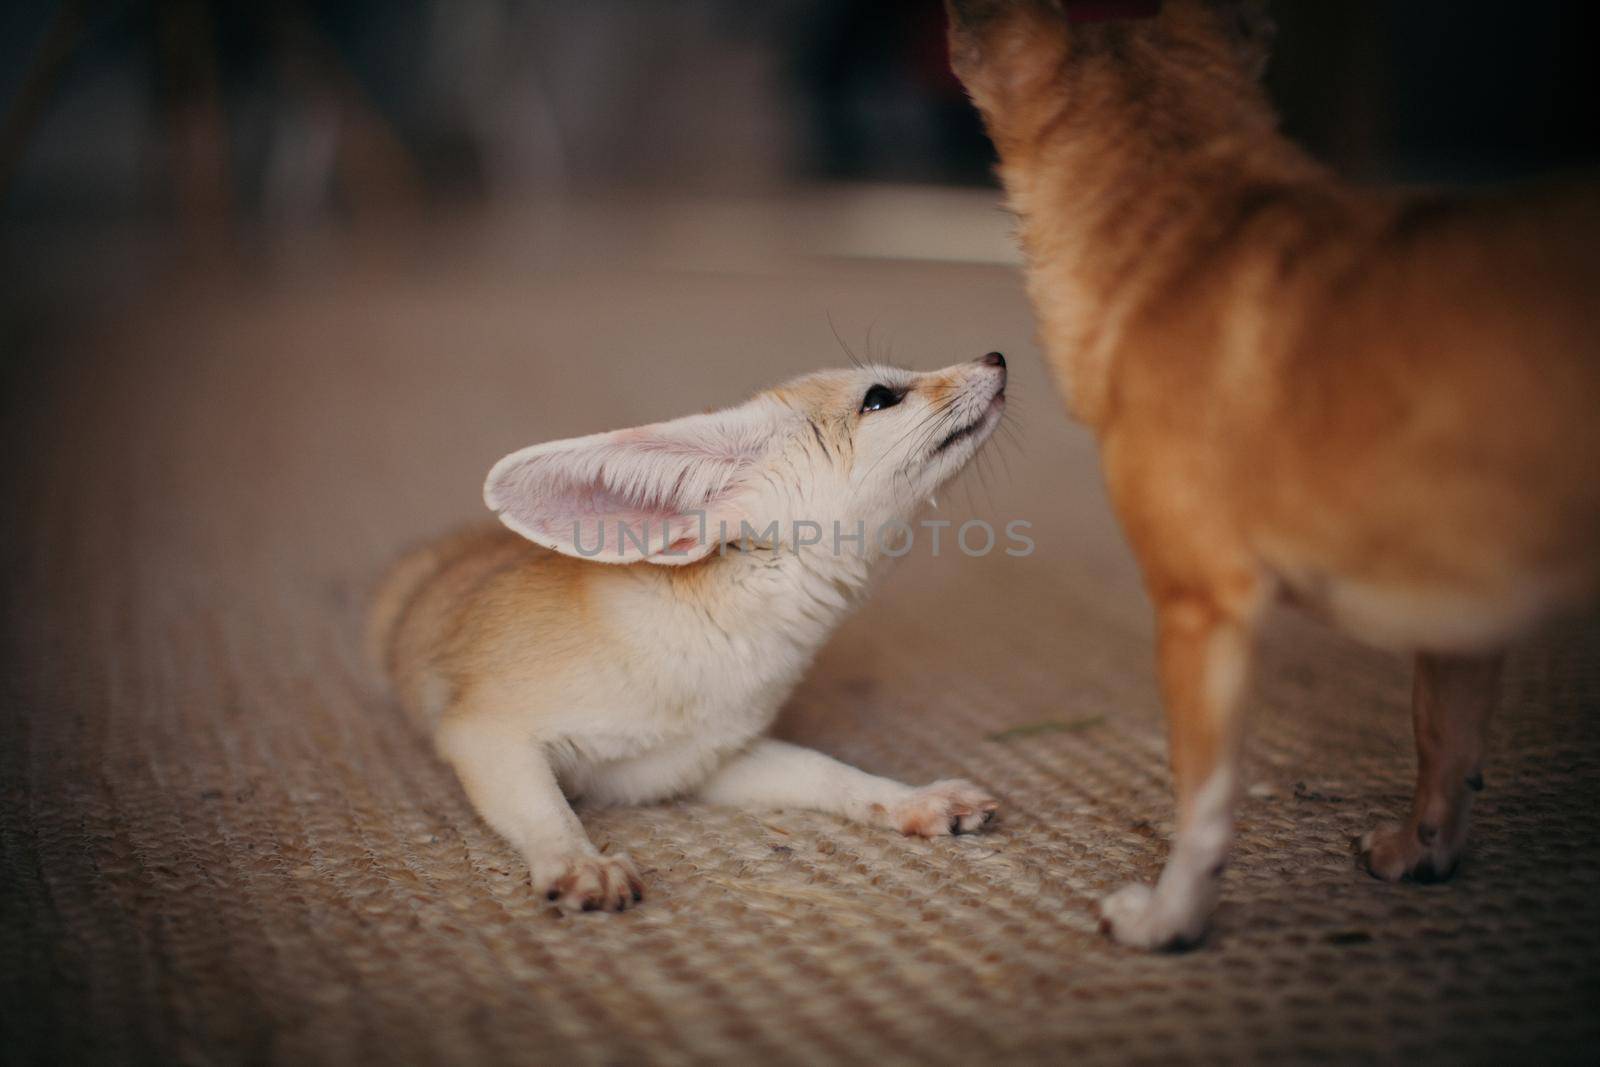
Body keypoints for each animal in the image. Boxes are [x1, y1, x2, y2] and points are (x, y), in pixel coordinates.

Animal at [368, 356, 1004, 908]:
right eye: (880, 396)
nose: (996, 358)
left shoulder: (704, 761)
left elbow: (828, 772)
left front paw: (910, 800)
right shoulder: (483, 732)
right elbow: (545, 811)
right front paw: (577, 861)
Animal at [940, 0, 1593, 953]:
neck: (1183, 220)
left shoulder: (1200, 605)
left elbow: (1203, 799)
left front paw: (1168, 918)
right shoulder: (1462, 614)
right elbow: (1444, 737)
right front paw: (1423, 850)